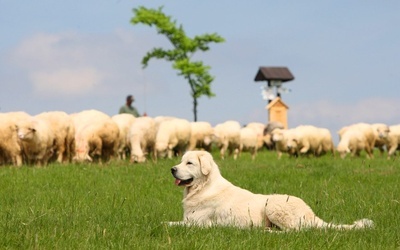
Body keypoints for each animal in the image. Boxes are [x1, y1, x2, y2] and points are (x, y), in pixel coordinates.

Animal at [170, 150, 376, 230]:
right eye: (181, 161)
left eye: (189, 163)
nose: (172, 169)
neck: (203, 187)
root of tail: (312, 214)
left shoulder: (197, 224)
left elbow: (168, 223)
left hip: (274, 204)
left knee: (295, 232)